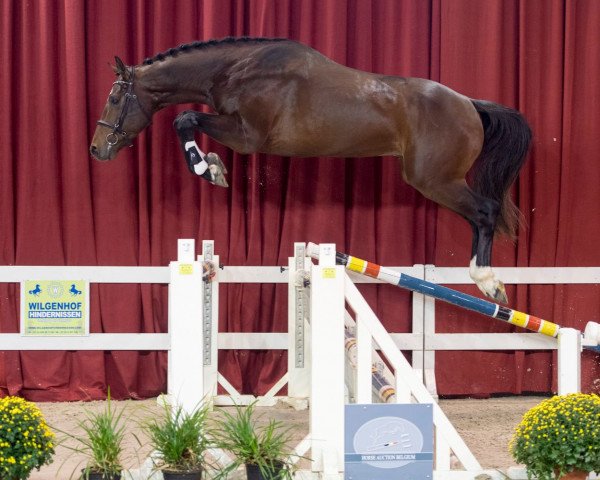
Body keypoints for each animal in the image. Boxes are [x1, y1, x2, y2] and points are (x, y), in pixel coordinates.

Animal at [91, 37, 532, 302]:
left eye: (114, 98)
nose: (96, 150)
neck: (239, 70)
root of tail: (470, 104)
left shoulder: (247, 136)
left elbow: (183, 120)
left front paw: (209, 169)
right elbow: (186, 121)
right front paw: (214, 167)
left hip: (434, 180)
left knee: (485, 212)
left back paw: (488, 281)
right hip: (438, 181)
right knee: (479, 216)